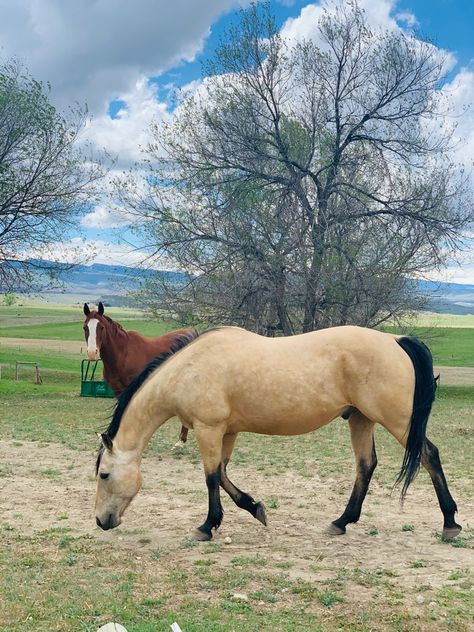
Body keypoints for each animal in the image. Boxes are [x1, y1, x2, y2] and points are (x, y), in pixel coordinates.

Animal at [82, 302, 193, 446]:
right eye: (85, 327)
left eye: (101, 327)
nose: (92, 353)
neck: (122, 355)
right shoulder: (118, 391)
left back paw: (181, 441)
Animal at [93, 326, 462, 544]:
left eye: (104, 474)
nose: (101, 521)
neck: (189, 369)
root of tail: (395, 341)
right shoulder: (228, 431)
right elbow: (223, 474)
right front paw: (255, 508)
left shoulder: (208, 428)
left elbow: (211, 477)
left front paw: (207, 526)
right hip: (361, 419)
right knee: (366, 465)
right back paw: (342, 521)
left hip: (398, 421)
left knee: (429, 456)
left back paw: (449, 522)